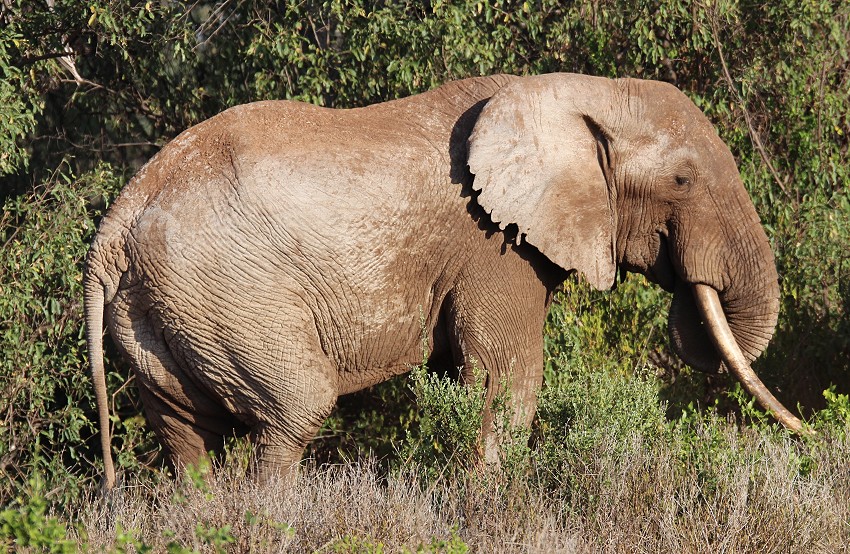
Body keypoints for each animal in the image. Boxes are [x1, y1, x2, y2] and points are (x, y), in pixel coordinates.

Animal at [84, 73, 800, 488]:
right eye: (681, 180)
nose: (810, 440)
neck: (571, 91)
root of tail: (114, 226)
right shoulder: (494, 247)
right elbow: (505, 375)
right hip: (231, 295)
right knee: (295, 410)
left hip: (156, 311)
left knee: (186, 433)